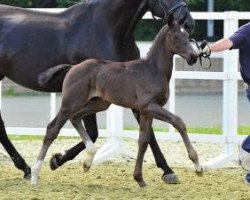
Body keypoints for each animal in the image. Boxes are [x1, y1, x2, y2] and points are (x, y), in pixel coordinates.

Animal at [0, 0, 194, 183]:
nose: (188, 22)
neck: (104, 29)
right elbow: (93, 133)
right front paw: (58, 160)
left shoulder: (133, 95)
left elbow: (147, 133)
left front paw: (168, 171)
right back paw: (26, 168)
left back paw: (25, 168)